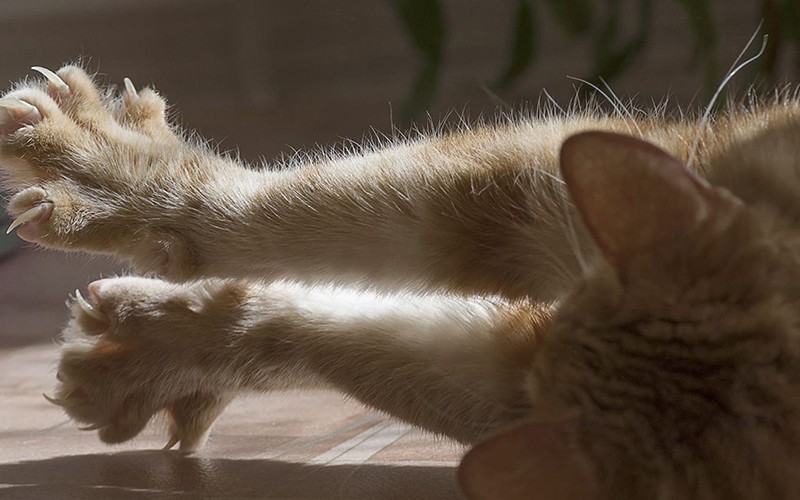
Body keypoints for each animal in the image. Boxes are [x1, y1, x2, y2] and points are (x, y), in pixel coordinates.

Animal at [1, 64, 800, 498]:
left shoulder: (528, 400)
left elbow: (345, 340)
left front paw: (160, 345)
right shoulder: (544, 200)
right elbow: (296, 213)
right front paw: (113, 180)